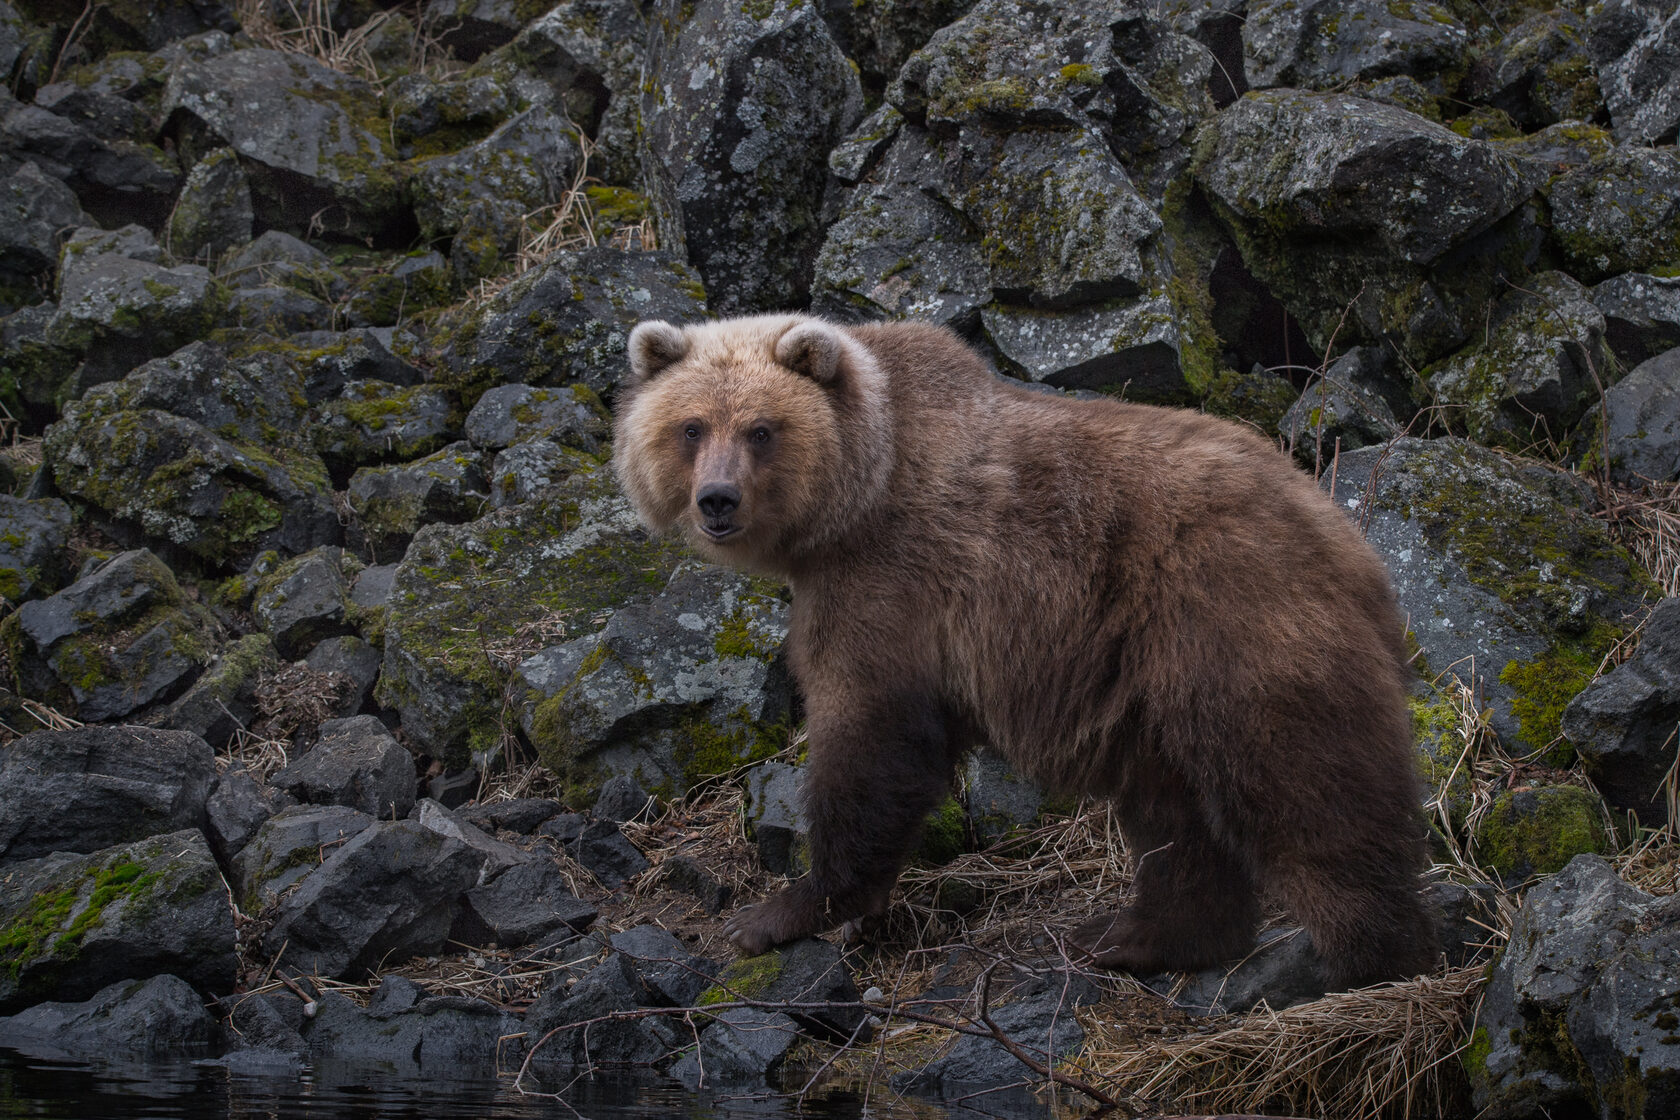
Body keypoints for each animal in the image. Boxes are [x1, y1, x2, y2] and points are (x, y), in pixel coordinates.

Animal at [611, 310, 1438, 987]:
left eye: (761, 429)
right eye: (691, 427)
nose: (717, 499)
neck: (857, 493)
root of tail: (1344, 532)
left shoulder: (889, 583)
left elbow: (872, 743)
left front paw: (777, 914)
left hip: (1232, 615)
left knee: (1303, 782)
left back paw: (1371, 955)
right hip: (1152, 674)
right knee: (1174, 812)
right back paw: (1133, 936)